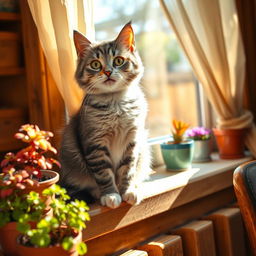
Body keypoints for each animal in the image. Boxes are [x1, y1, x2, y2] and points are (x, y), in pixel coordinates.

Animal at [59, 22, 151, 209]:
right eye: (95, 64)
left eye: (118, 61)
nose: (108, 72)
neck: (116, 103)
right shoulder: (95, 144)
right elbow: (104, 174)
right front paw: (111, 195)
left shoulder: (132, 141)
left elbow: (127, 170)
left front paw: (127, 191)